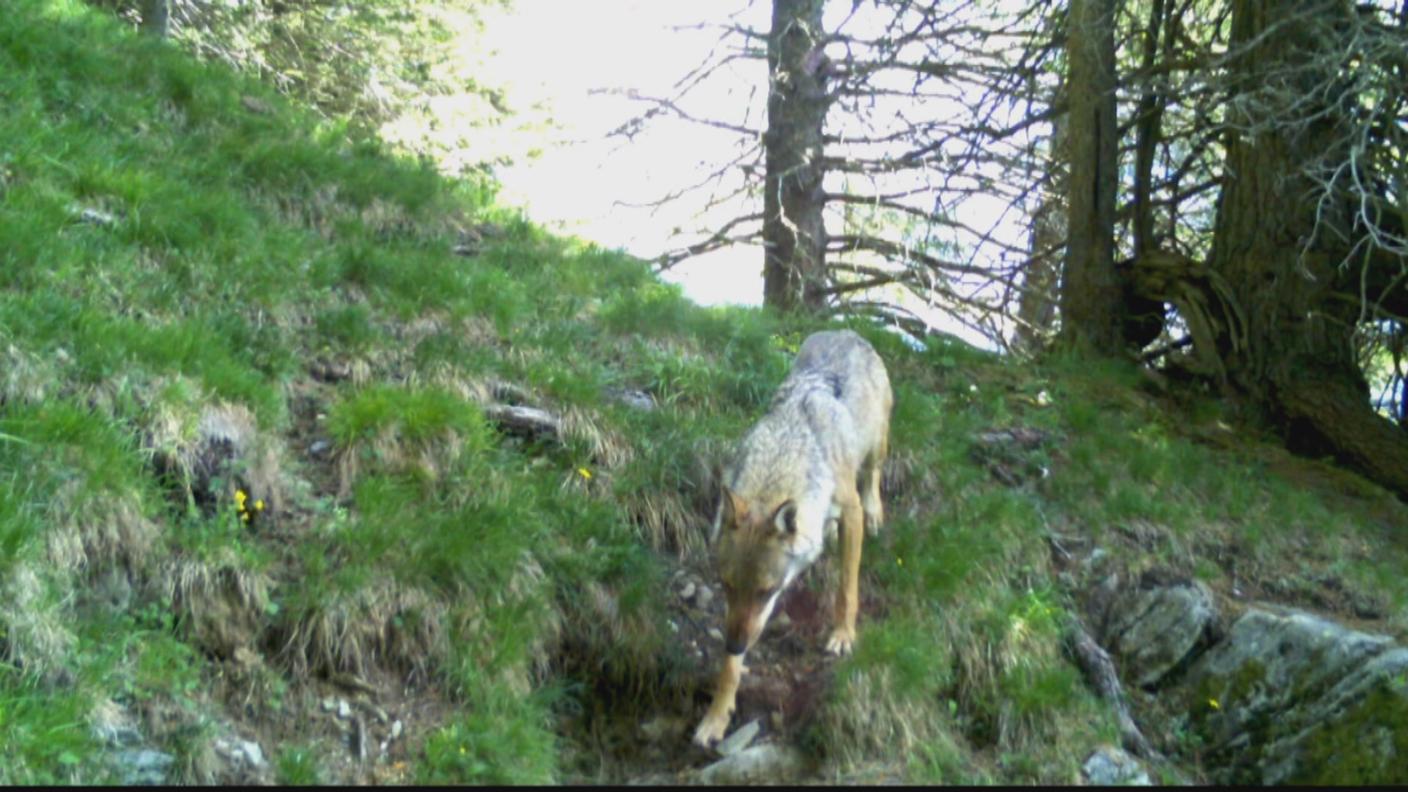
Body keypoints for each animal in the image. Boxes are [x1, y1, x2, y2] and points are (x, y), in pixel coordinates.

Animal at [692, 329, 892, 749]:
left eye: (767, 592)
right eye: (726, 586)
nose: (734, 644)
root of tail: (847, 331)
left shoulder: (849, 512)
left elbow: (847, 588)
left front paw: (843, 635)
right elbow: (730, 669)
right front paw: (716, 716)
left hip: (876, 445)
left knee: (874, 475)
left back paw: (875, 512)